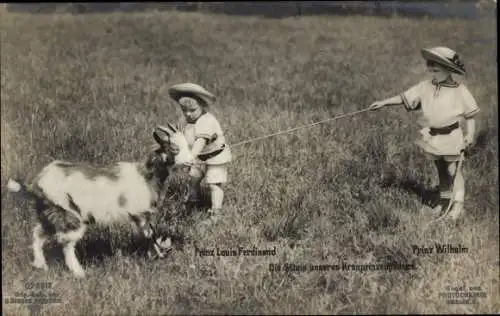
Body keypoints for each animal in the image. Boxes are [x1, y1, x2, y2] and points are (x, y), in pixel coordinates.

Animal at [6, 123, 191, 276]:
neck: (146, 175)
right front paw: (158, 255)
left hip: (50, 212)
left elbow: (149, 234)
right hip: (69, 214)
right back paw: (79, 273)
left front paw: (156, 255)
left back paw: (40, 265)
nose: (191, 161)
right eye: (174, 148)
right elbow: (149, 234)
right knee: (66, 244)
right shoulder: (139, 213)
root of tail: (36, 183)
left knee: (38, 233)